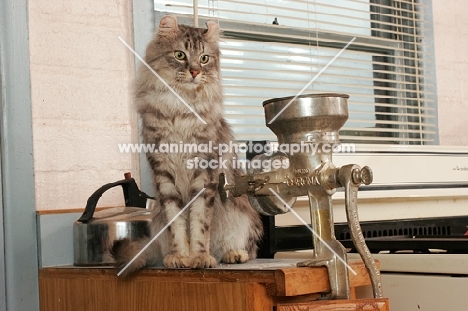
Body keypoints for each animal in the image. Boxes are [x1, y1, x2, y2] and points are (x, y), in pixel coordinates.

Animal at [110, 15, 264, 276]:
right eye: (180, 55)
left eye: (204, 58)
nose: (194, 71)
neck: (180, 107)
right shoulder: (164, 176)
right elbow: (178, 227)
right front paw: (181, 257)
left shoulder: (204, 173)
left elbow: (199, 223)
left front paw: (200, 257)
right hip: (157, 218)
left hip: (241, 214)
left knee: (246, 249)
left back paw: (233, 254)